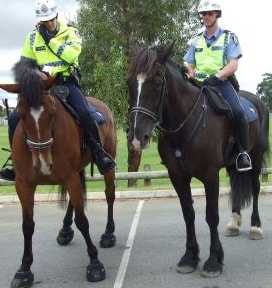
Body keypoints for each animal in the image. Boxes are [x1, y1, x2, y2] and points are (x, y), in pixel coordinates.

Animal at [0, 59, 116, 288]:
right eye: (21, 114)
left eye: (52, 113)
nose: (44, 164)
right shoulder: (24, 185)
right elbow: (27, 225)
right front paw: (24, 269)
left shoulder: (69, 177)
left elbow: (82, 220)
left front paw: (94, 263)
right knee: (74, 199)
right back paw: (65, 230)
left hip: (105, 166)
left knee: (109, 195)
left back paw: (108, 233)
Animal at [127, 42, 270, 276]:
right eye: (129, 82)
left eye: (158, 82)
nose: (138, 138)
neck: (188, 120)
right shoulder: (177, 176)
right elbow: (188, 214)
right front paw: (189, 257)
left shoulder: (210, 175)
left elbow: (211, 216)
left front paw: (214, 260)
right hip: (232, 163)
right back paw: (234, 222)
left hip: (256, 157)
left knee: (256, 188)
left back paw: (256, 226)